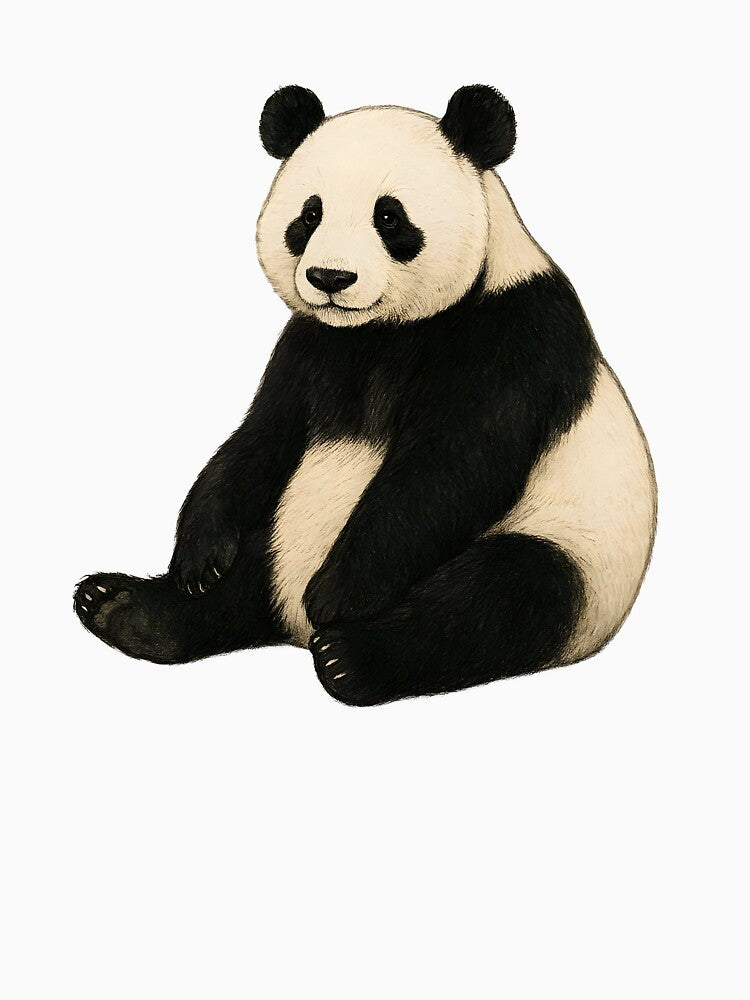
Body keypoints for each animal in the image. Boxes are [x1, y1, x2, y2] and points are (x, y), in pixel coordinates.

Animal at [74, 84, 657, 706]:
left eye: (389, 216)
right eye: (310, 214)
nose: (330, 278)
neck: (382, 332)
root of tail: (289, 626)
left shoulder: (513, 335)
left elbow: (449, 467)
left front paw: (337, 594)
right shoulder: (309, 345)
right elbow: (261, 438)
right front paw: (198, 558)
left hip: (573, 550)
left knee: (498, 598)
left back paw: (348, 656)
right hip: (283, 529)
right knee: (243, 581)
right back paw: (125, 608)